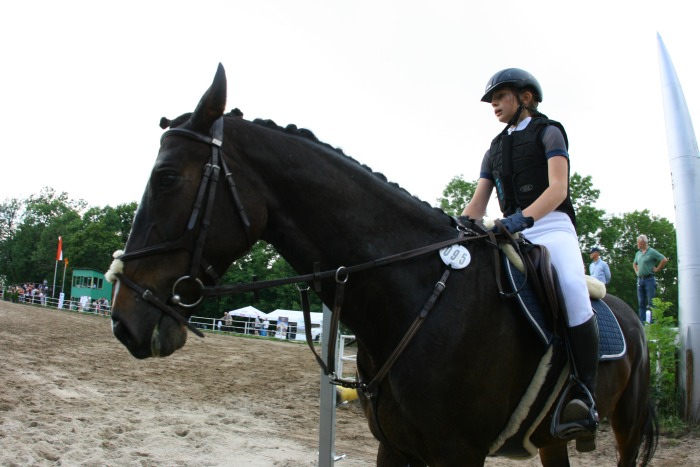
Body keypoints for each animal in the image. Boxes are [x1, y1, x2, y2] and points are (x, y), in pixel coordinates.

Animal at [110, 64, 657, 466]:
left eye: (165, 178)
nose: (122, 322)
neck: (420, 294)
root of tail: (632, 316)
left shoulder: (458, 454)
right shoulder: (394, 446)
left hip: (626, 427)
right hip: (551, 442)